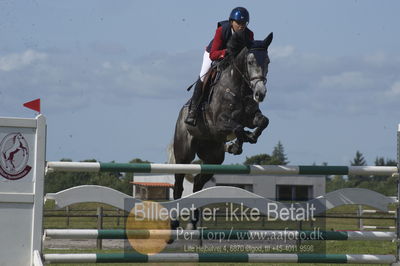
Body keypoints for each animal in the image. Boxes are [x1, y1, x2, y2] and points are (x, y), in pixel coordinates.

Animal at [169, 31, 272, 230]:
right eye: (250, 62)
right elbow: (238, 128)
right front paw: (239, 143)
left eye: (268, 61)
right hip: (184, 154)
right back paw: (175, 223)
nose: (260, 94)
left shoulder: (251, 117)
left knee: (198, 183)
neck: (239, 87)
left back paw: (193, 222)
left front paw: (246, 140)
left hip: (214, 158)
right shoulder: (220, 122)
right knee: (178, 185)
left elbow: (263, 121)